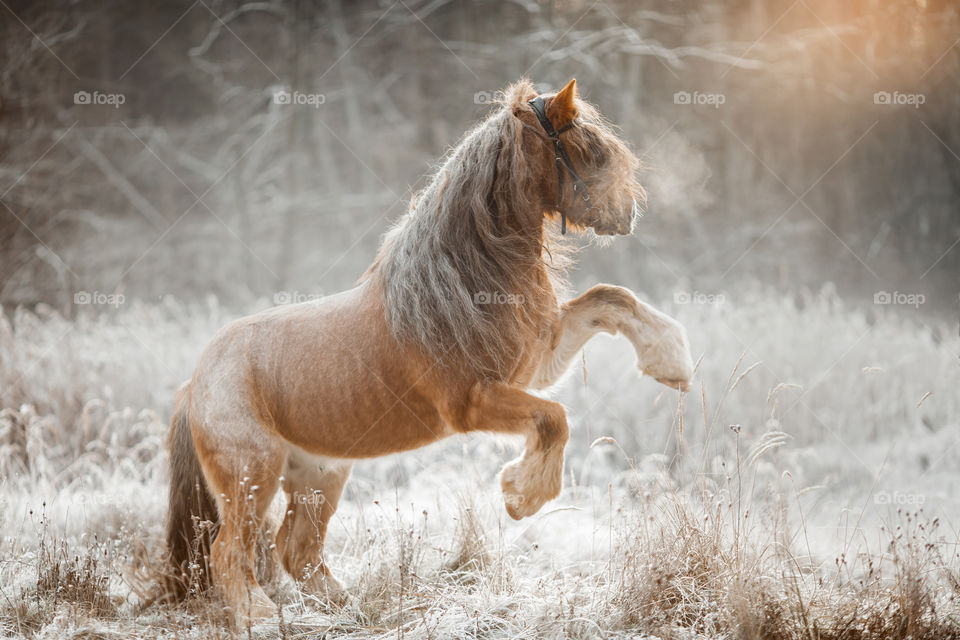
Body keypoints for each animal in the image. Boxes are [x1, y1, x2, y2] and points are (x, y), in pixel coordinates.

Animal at [163, 77, 688, 624]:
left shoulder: (537, 365)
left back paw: (346, 609)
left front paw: (672, 361)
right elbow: (554, 419)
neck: (455, 286)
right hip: (252, 475)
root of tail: (196, 380)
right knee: (230, 552)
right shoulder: (473, 401)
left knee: (297, 549)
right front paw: (520, 495)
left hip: (320, 474)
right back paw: (263, 617)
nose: (628, 211)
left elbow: (611, 299)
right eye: (588, 149)